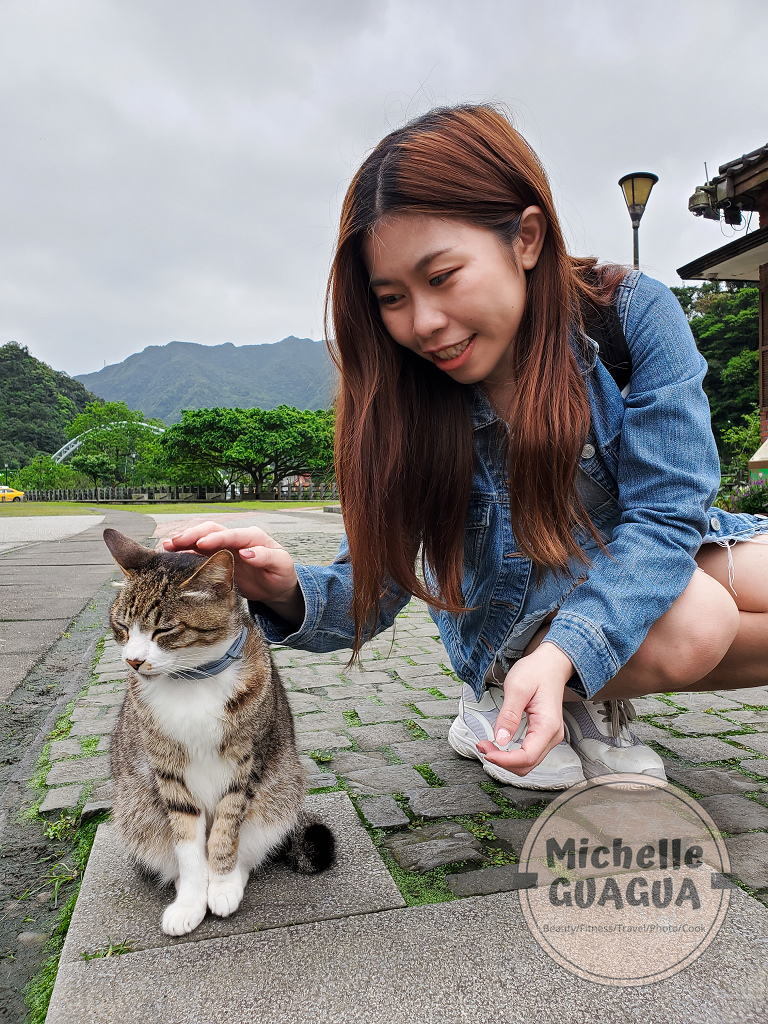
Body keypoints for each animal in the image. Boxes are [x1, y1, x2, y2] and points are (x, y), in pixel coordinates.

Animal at [102, 528, 335, 937]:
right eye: (122, 627)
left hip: (280, 790)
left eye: (164, 629)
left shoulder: (245, 765)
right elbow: (187, 845)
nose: (133, 661)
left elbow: (226, 832)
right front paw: (191, 902)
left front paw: (222, 886)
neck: (192, 679)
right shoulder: (168, 771)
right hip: (137, 808)